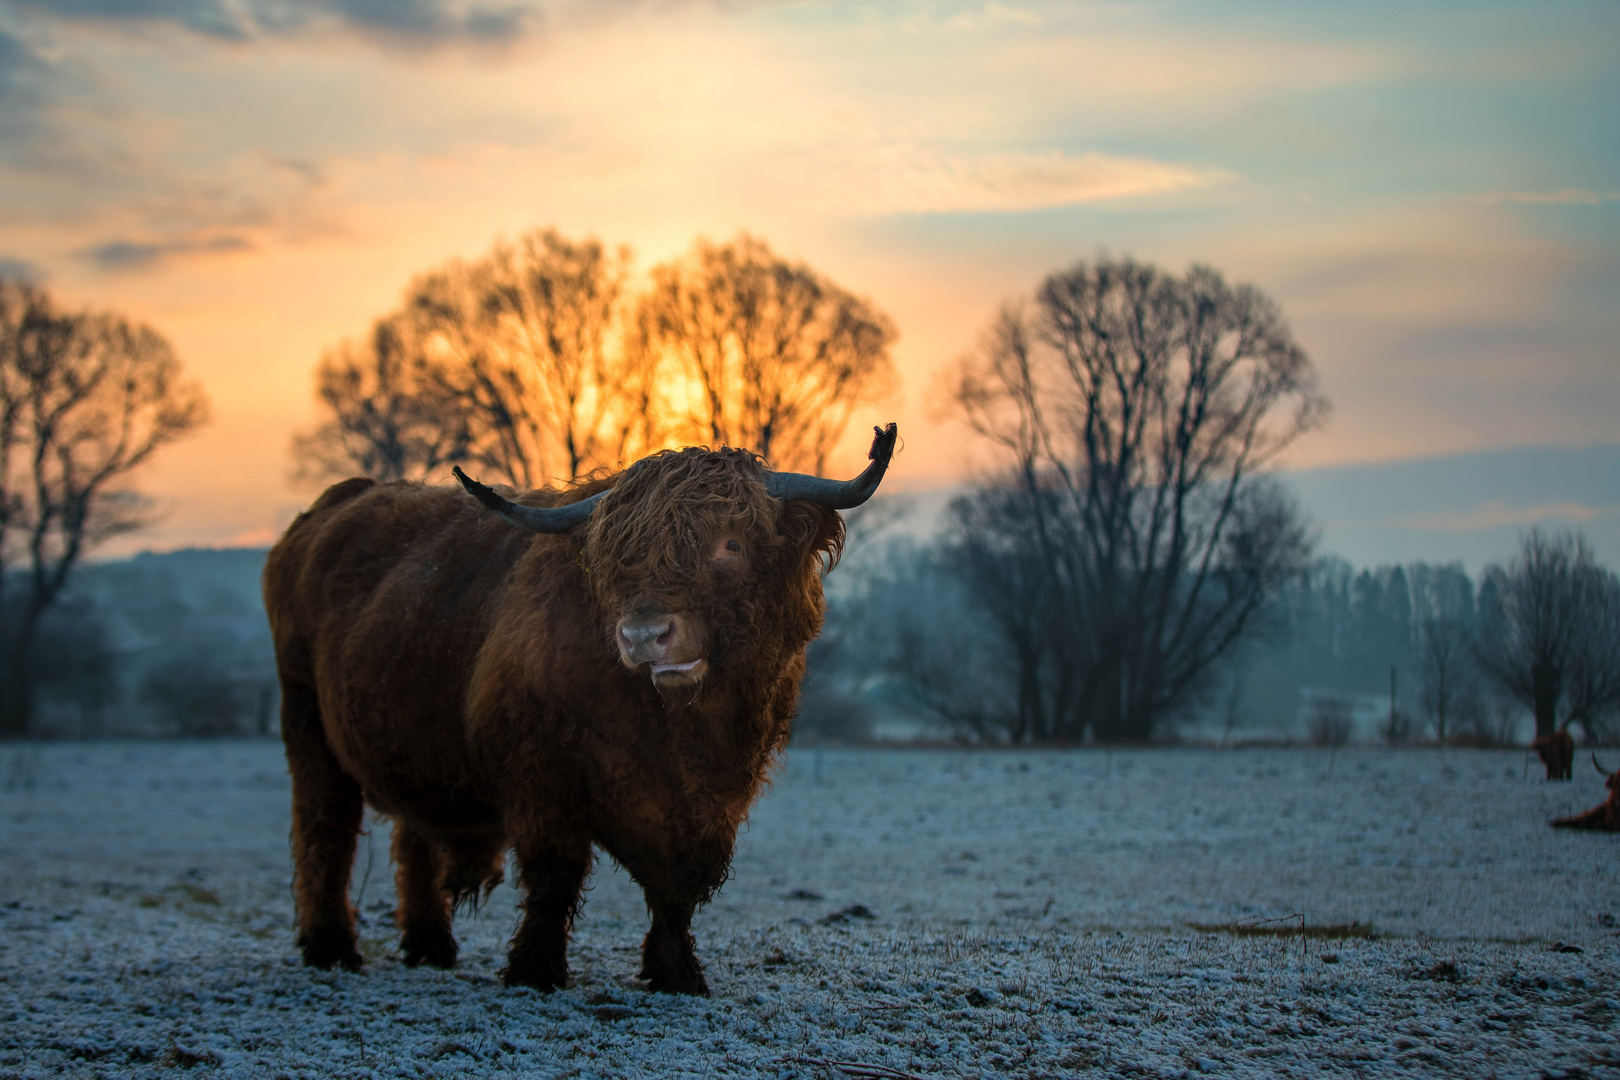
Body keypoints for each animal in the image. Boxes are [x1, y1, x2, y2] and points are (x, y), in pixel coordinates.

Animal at [265, 424, 900, 997]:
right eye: (619, 556)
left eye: (732, 544)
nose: (644, 635)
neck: (681, 730)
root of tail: (337, 501)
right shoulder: (544, 776)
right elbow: (556, 874)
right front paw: (535, 970)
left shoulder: (713, 801)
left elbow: (677, 887)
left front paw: (677, 974)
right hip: (307, 724)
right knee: (325, 831)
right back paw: (331, 948)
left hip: (417, 750)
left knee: (412, 837)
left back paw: (429, 947)